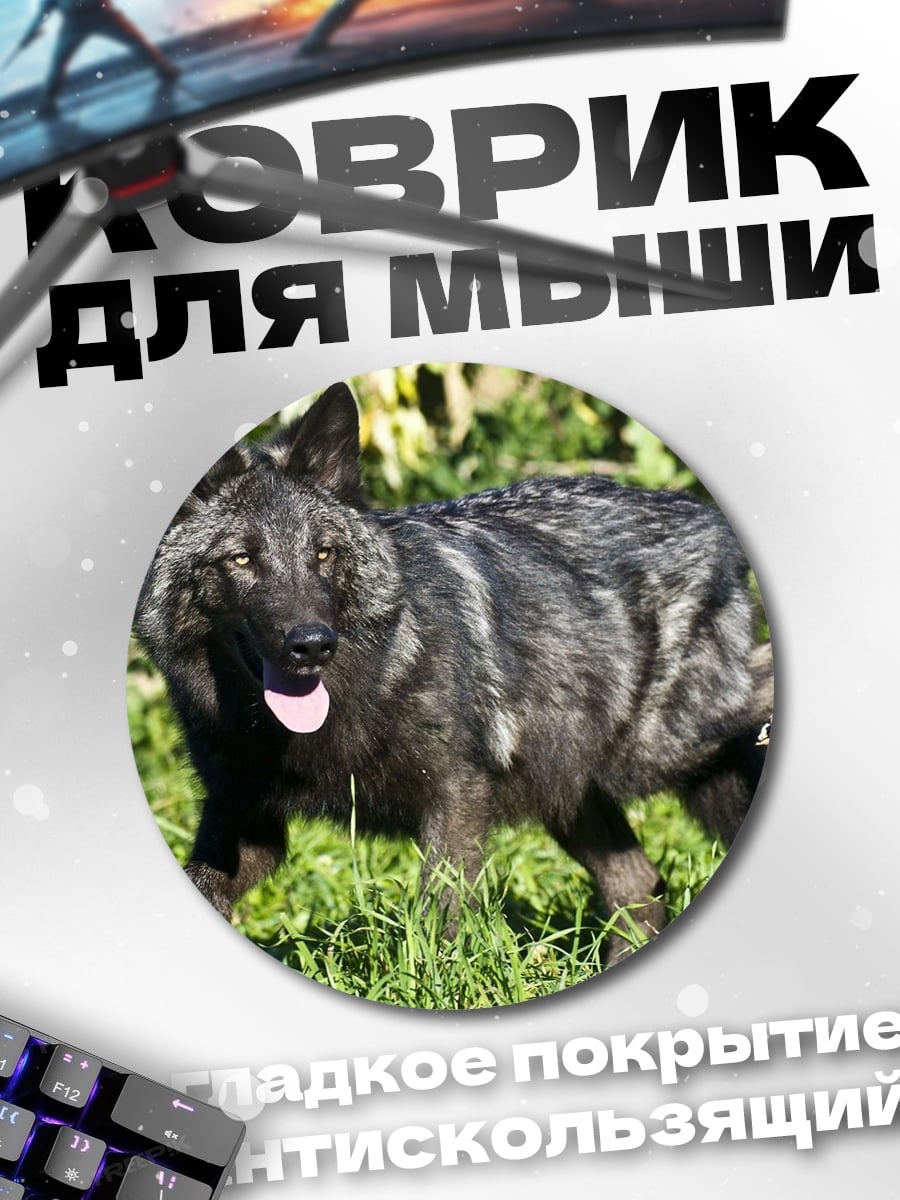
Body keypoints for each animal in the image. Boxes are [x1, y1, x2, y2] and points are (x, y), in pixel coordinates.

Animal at [135, 382, 773, 962]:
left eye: (323, 553)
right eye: (242, 558)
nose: (312, 646)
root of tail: (707, 517)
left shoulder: (457, 798)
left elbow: (438, 922)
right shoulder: (244, 818)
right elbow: (203, 885)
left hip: (658, 750)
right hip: (577, 794)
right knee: (638, 886)